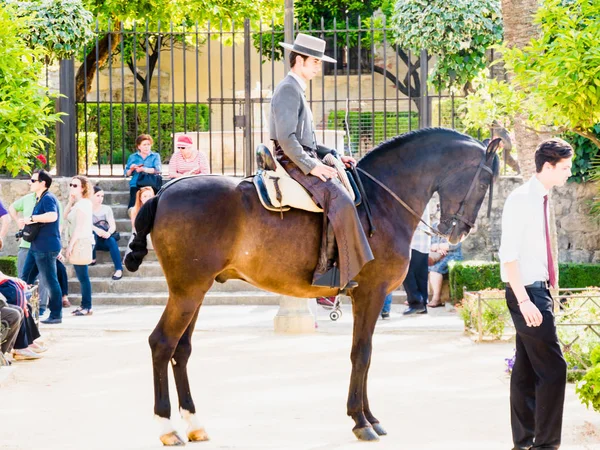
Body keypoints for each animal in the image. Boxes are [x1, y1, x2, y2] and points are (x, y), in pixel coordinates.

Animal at [125, 128, 502, 444]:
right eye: (485, 181)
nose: (458, 232)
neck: (382, 201)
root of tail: (164, 191)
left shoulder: (366, 297)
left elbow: (364, 355)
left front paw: (368, 416)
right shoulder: (371, 294)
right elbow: (361, 354)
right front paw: (360, 421)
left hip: (196, 291)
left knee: (181, 350)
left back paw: (193, 422)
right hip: (187, 292)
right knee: (162, 344)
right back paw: (167, 426)